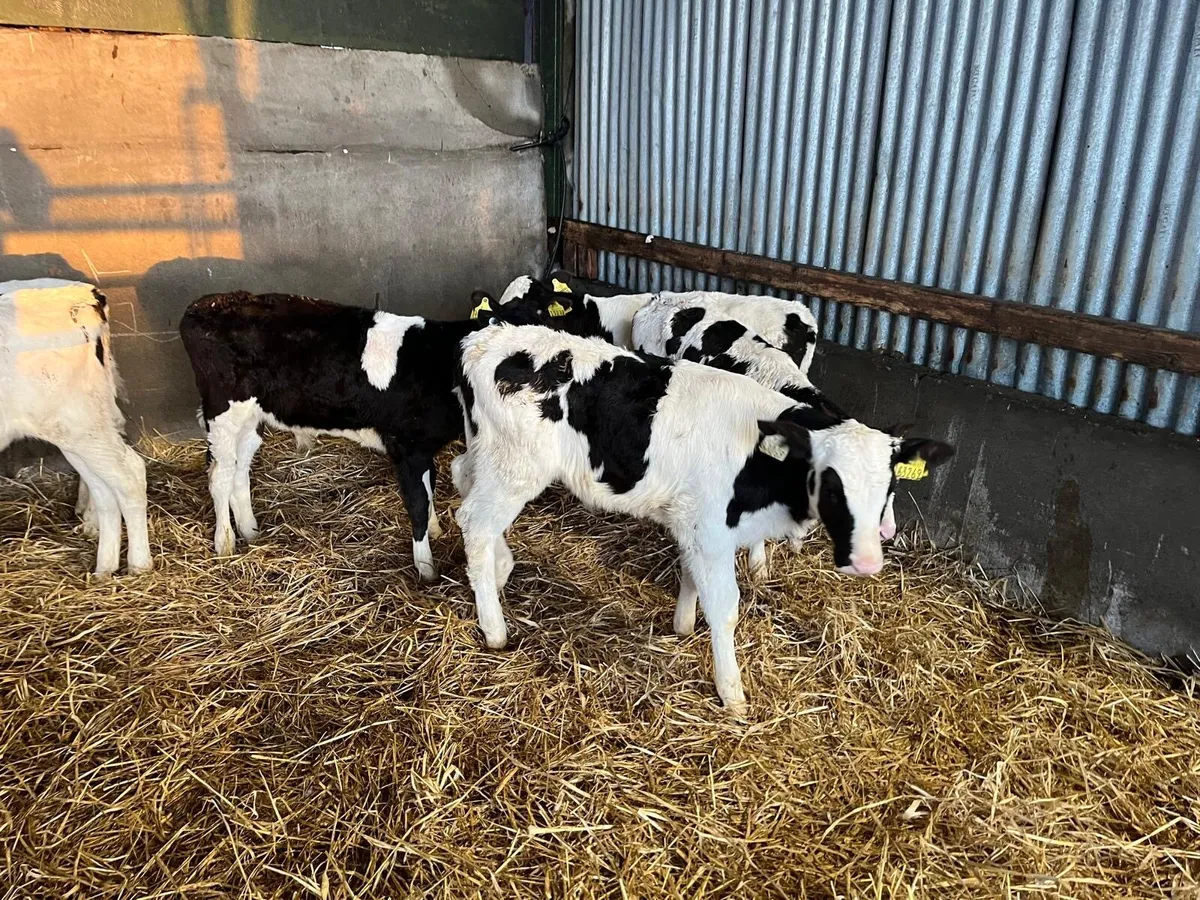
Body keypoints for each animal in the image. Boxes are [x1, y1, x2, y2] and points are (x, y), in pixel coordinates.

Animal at [0, 278, 152, 576]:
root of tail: (86, 293)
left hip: (80, 422)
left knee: (128, 474)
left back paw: (139, 565)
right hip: (77, 429)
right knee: (104, 489)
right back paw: (104, 566)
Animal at [179, 291, 486, 582]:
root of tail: (204, 304)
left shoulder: (423, 449)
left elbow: (429, 487)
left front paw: (435, 529)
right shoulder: (406, 447)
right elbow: (418, 502)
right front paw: (426, 568)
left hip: (250, 418)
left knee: (239, 470)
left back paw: (250, 531)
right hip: (223, 412)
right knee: (220, 476)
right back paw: (225, 543)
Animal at [450, 324, 954, 713]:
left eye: (890, 486)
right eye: (831, 485)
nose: (868, 560)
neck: (760, 453)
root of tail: (486, 338)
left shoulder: (697, 522)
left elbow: (691, 576)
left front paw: (683, 625)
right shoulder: (708, 527)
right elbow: (726, 609)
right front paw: (731, 692)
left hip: (488, 455)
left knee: (462, 484)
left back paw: (499, 568)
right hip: (517, 466)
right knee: (475, 522)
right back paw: (494, 628)